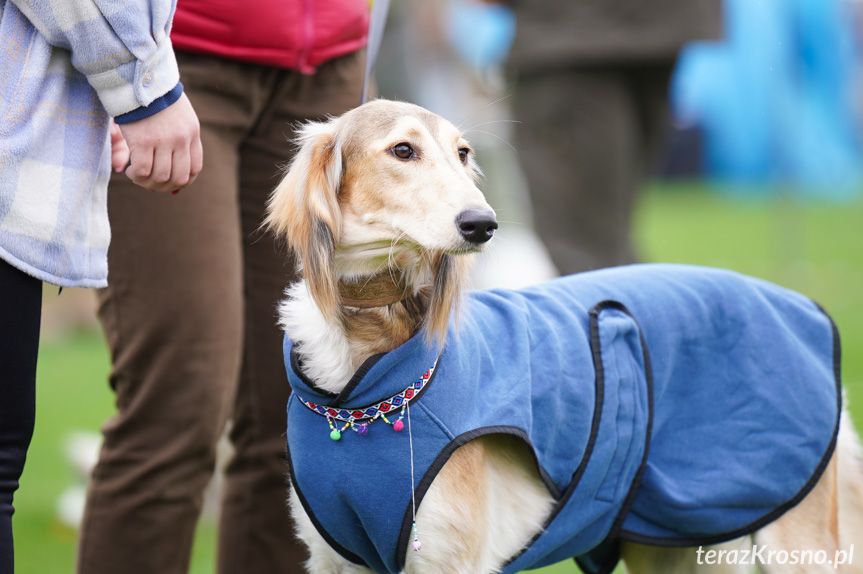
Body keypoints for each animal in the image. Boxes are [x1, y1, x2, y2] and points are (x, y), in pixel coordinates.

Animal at [268, 101, 863, 572]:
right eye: (402, 150)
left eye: (462, 153)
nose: (483, 223)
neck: (363, 380)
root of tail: (794, 299)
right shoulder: (336, 559)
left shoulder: (447, 557)